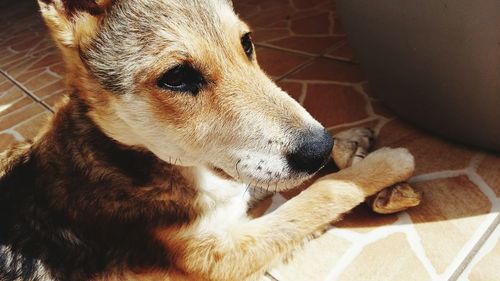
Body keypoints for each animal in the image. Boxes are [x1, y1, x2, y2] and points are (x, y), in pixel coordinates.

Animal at [0, 1, 414, 278]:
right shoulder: (220, 257)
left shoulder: (231, 187)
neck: (123, 157)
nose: (320, 147)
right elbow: (319, 195)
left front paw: (350, 143)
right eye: (176, 77)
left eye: (246, 43)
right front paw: (382, 165)